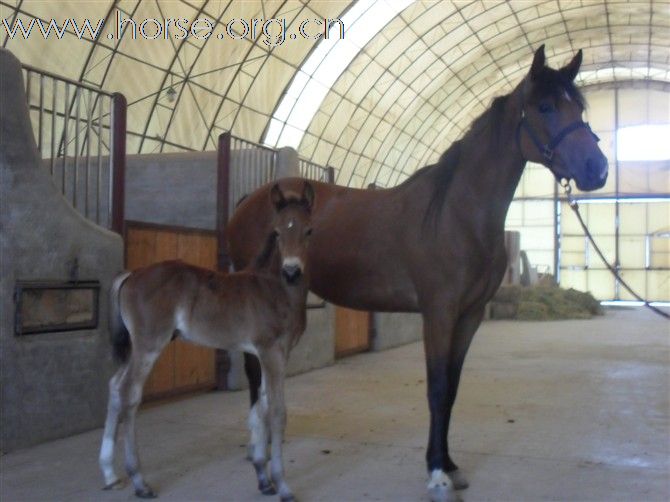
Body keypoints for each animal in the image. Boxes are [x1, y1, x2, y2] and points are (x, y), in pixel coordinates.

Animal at [100, 181, 318, 502]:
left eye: (309, 230)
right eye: (278, 231)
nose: (292, 272)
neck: (273, 288)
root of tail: (132, 274)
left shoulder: (275, 354)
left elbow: (262, 408)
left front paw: (263, 478)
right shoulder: (270, 352)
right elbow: (277, 413)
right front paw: (283, 485)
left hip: (136, 347)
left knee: (115, 386)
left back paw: (110, 473)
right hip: (149, 345)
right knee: (129, 393)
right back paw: (139, 481)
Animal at [226, 46, 608, 502]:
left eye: (579, 108)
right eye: (546, 107)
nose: (597, 168)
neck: (455, 213)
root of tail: (250, 200)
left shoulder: (469, 315)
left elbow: (453, 389)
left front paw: (451, 466)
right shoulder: (439, 313)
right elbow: (437, 388)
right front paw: (437, 475)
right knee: (254, 375)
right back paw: (262, 467)